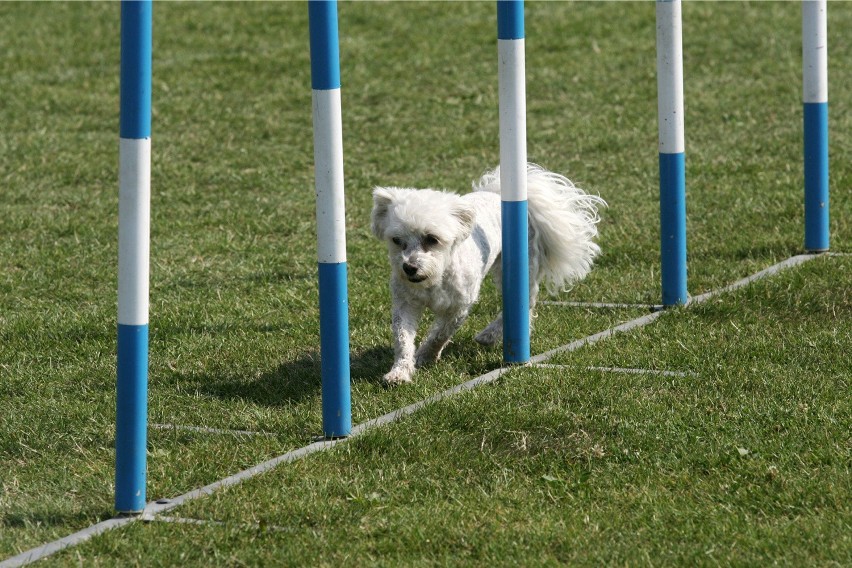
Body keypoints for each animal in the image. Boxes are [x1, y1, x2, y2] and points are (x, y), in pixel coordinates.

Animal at [370, 164, 604, 386]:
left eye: (432, 238)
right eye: (397, 240)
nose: (409, 267)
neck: (436, 277)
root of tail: (494, 193)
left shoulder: (459, 308)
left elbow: (440, 334)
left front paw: (426, 356)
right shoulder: (405, 304)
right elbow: (403, 339)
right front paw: (400, 372)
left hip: (517, 269)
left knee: (526, 304)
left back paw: (490, 335)